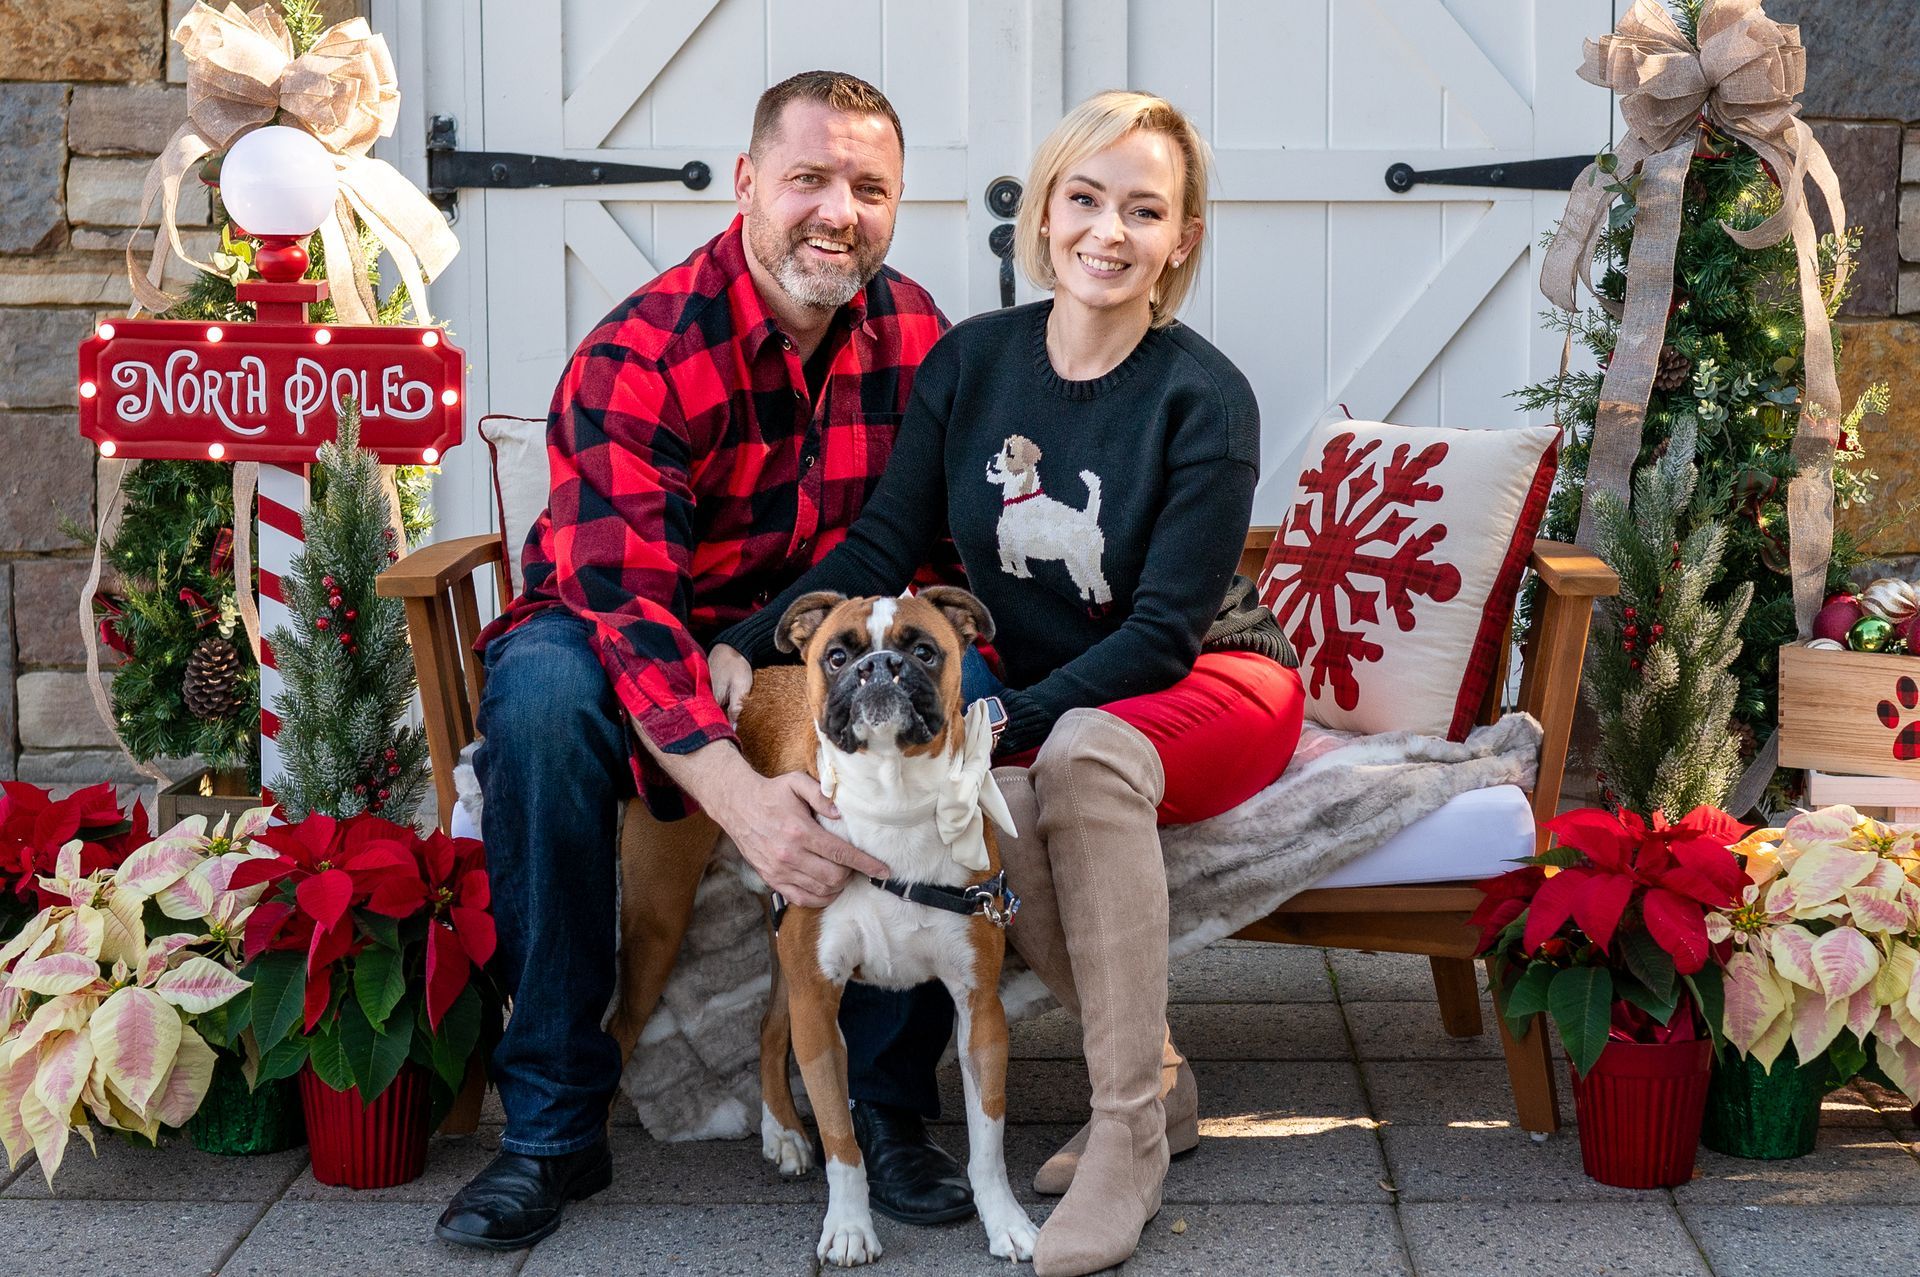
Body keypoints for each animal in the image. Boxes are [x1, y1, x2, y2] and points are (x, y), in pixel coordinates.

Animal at [729, 583, 1036, 1267]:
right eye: (839, 657)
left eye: (923, 651)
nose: (879, 668)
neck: (895, 805)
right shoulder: (819, 1005)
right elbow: (844, 1143)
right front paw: (848, 1228)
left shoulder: (980, 1008)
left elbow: (990, 1137)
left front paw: (1004, 1221)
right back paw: (784, 1133)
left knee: (768, 1025)